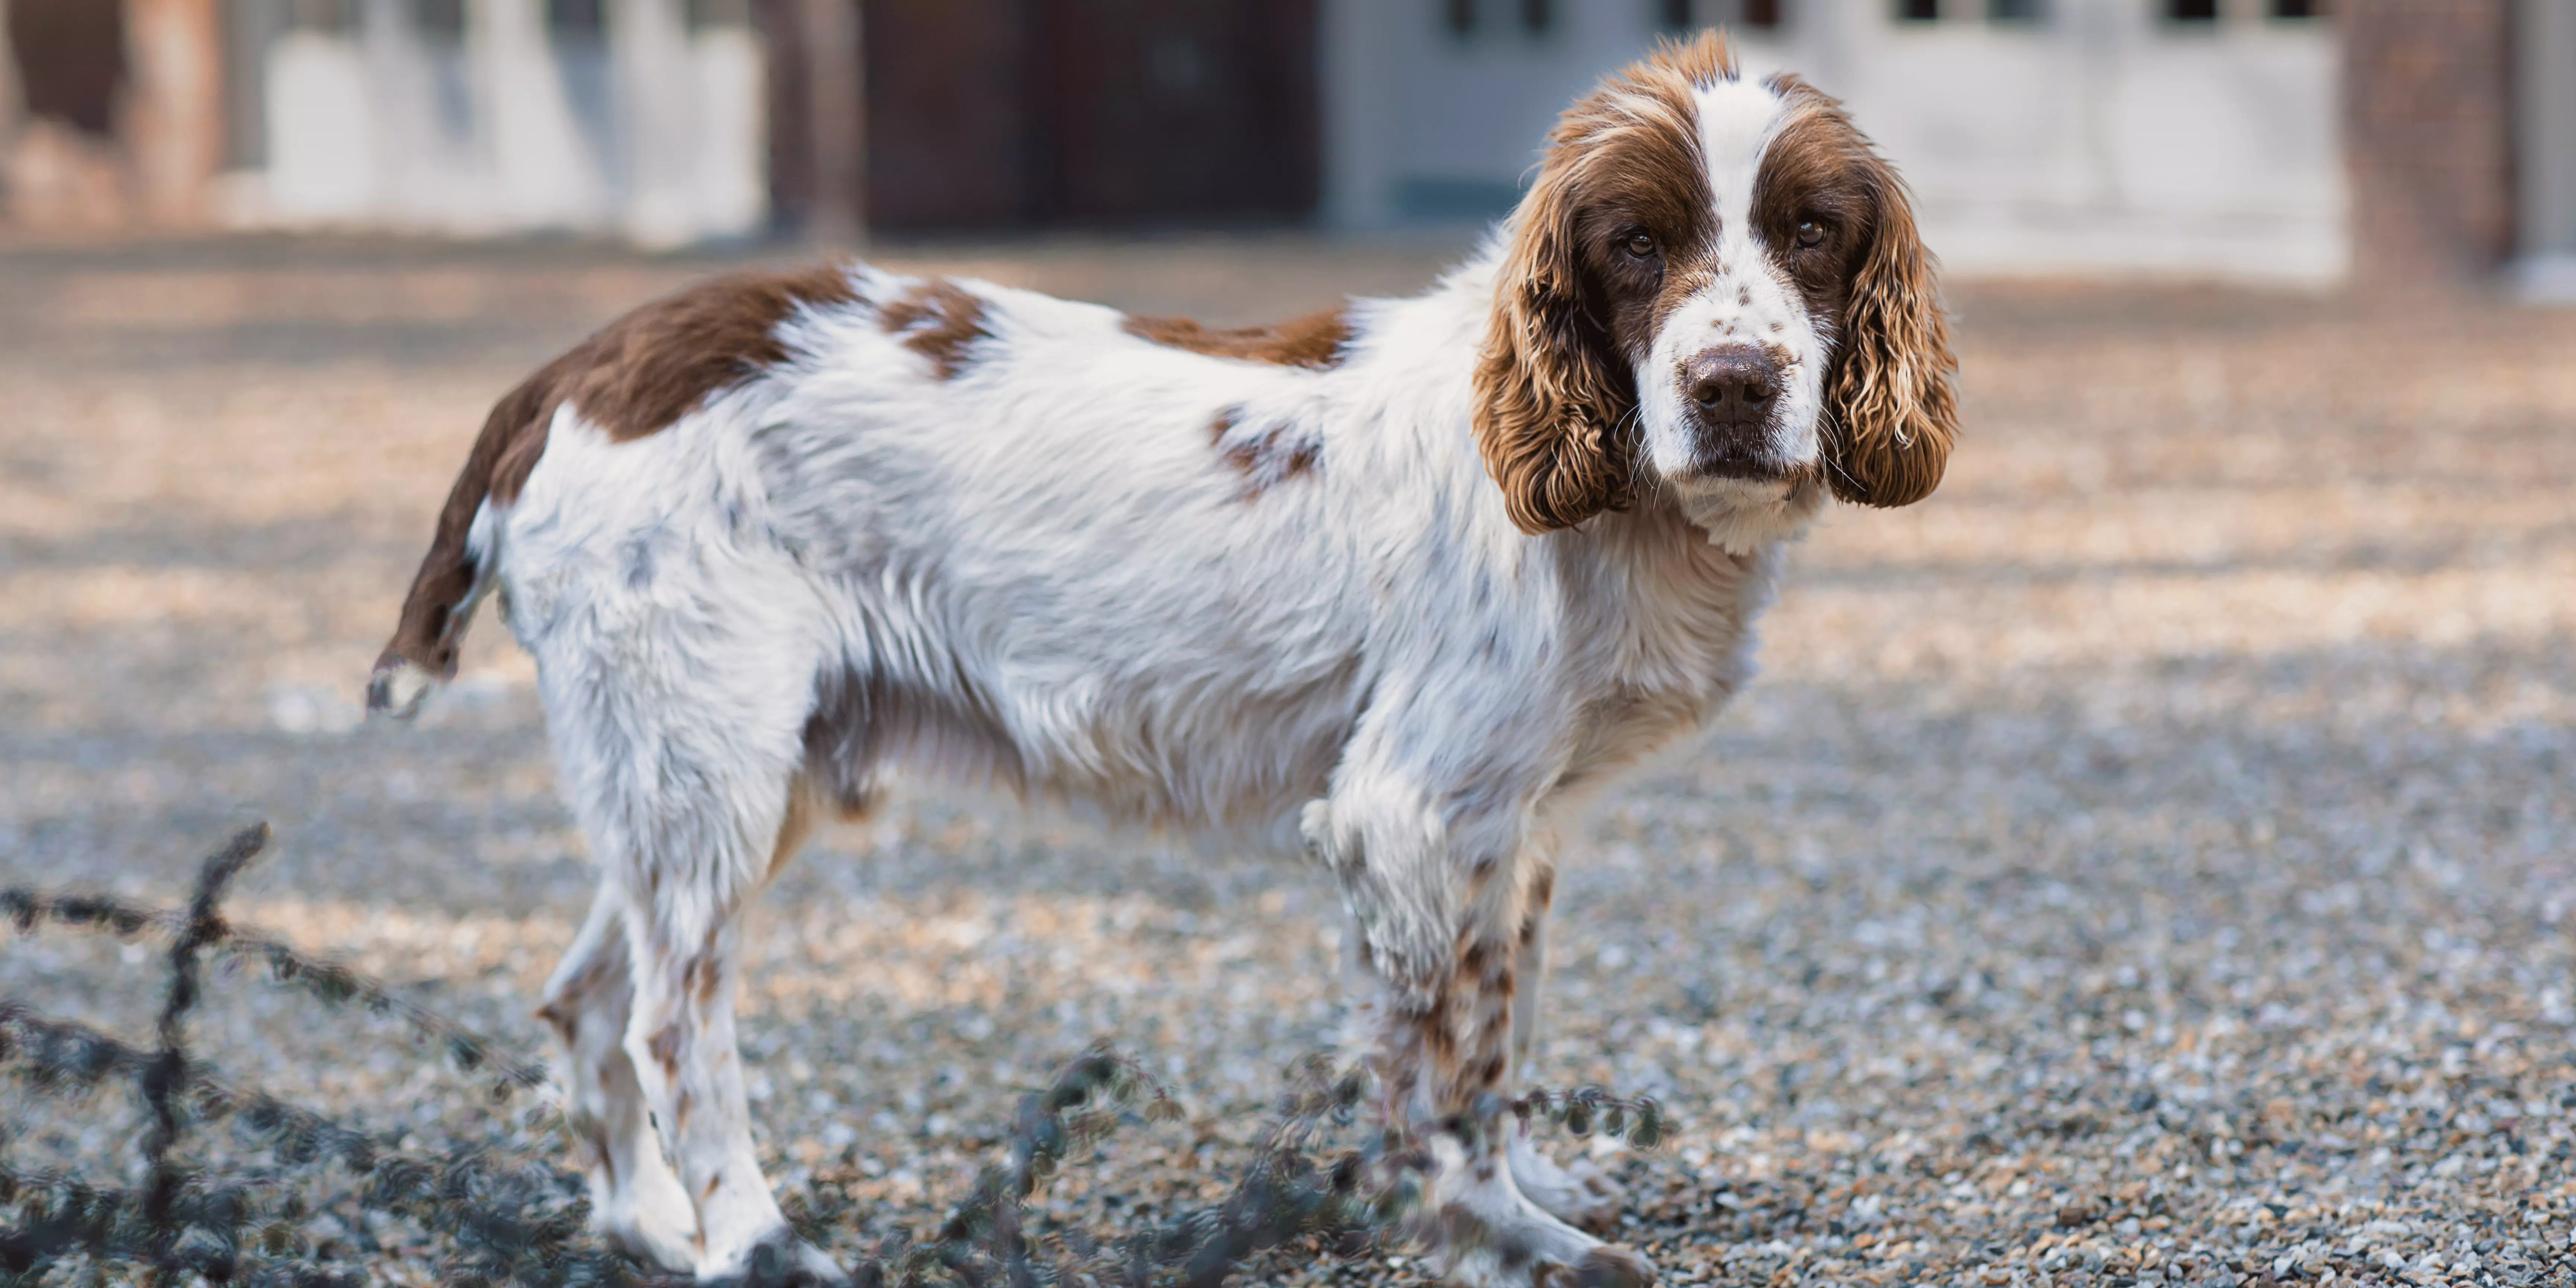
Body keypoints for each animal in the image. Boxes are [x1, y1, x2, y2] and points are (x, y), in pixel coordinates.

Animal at [368, 32, 1947, 1288]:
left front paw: (1514, 1197)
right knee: (670, 1025)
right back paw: (748, 1240)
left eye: (1811, 231)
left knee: (586, 1000)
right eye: (1635, 244)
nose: (1733, 387)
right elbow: (1439, 1065)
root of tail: (576, 370)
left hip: (711, 780)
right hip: (710, 769)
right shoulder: (1408, 813)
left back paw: (647, 1227)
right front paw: (1488, 1236)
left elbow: (1493, 1040)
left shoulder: (1516, 829)